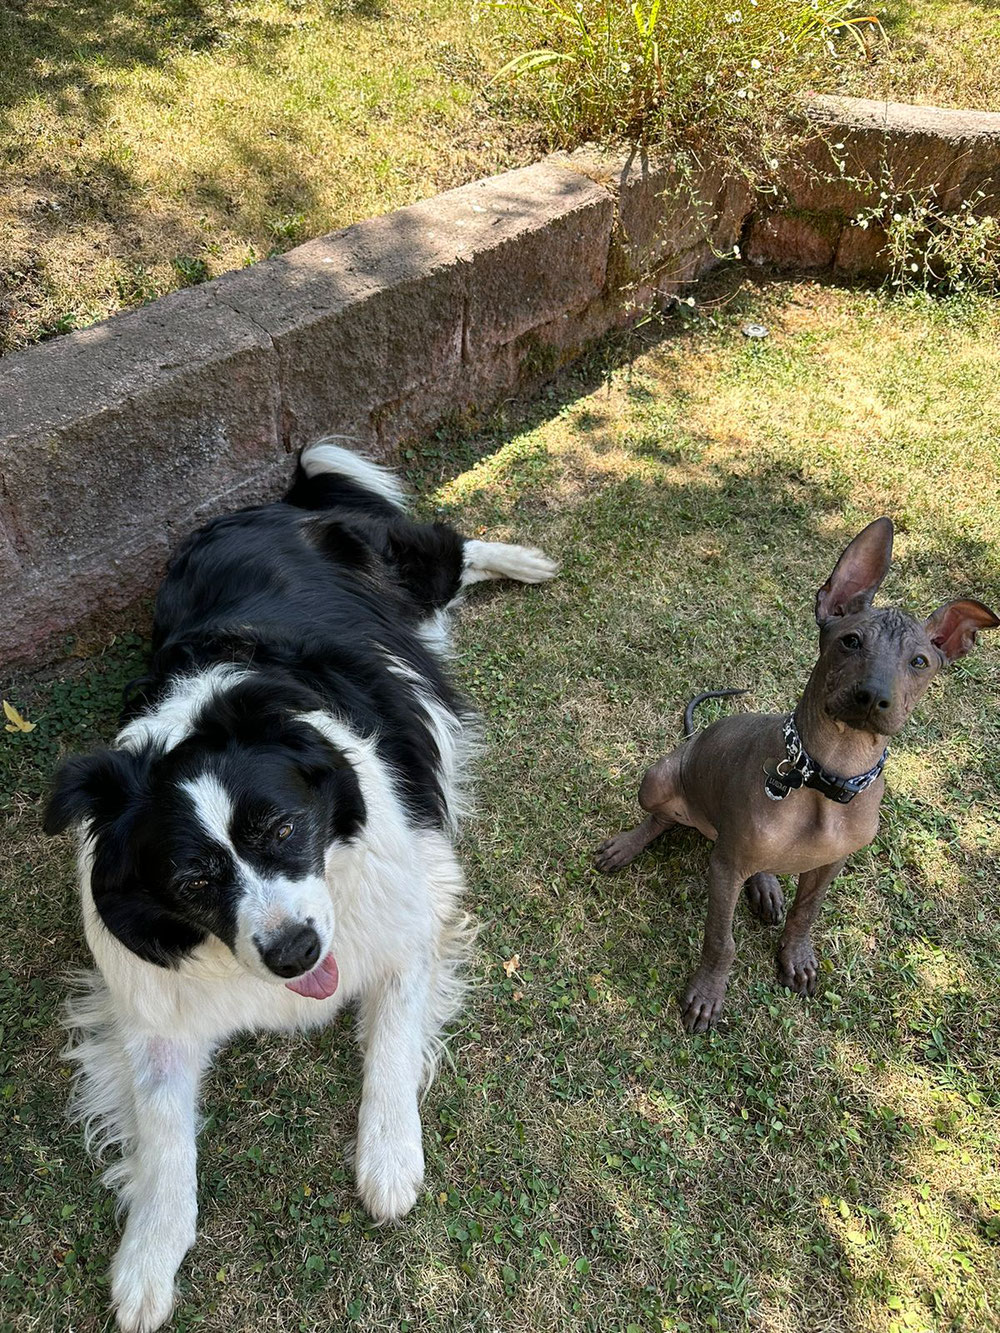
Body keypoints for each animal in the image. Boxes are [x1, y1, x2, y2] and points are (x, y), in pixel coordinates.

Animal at [594, 517, 997, 1029]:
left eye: (919, 662)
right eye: (851, 641)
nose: (873, 697)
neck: (828, 775)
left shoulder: (831, 862)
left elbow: (806, 912)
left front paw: (796, 956)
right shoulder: (725, 868)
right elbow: (720, 940)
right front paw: (708, 992)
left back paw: (766, 886)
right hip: (660, 780)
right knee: (661, 818)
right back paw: (628, 845)